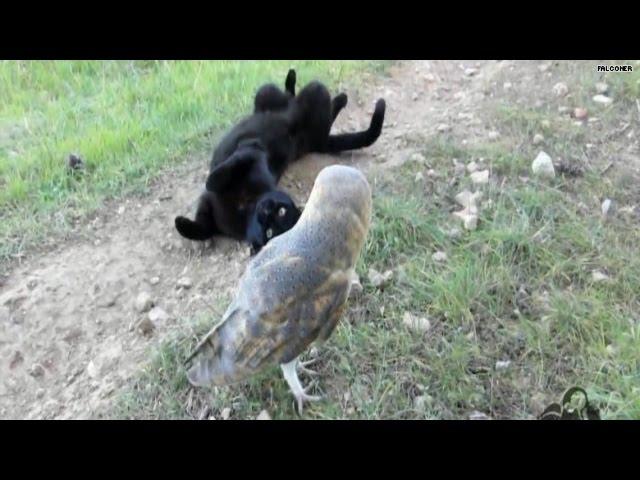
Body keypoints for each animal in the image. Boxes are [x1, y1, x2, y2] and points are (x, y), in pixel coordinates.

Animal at [175, 70, 384, 255]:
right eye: (281, 211)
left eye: (272, 230)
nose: (267, 209)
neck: (246, 209)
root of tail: (317, 143)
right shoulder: (210, 201)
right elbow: (202, 228)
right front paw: (180, 222)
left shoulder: (256, 153)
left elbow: (211, 198)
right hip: (266, 93)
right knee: (287, 96)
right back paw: (293, 80)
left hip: (315, 96)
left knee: (321, 104)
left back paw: (340, 97)